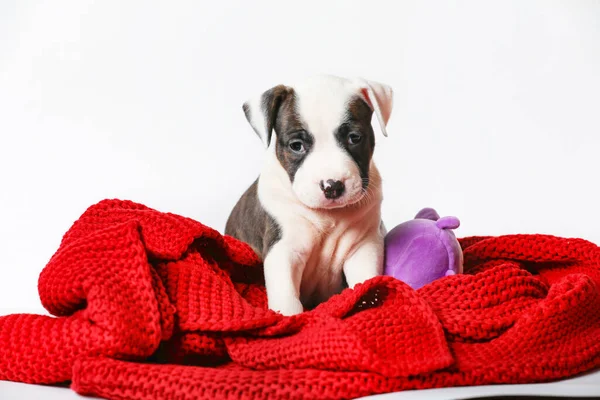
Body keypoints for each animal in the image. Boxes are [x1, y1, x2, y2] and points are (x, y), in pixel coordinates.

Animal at [226, 73, 394, 314]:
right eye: (296, 145)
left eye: (354, 138)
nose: (332, 186)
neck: (329, 216)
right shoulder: (283, 250)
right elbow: (287, 298)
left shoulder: (364, 246)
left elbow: (366, 280)